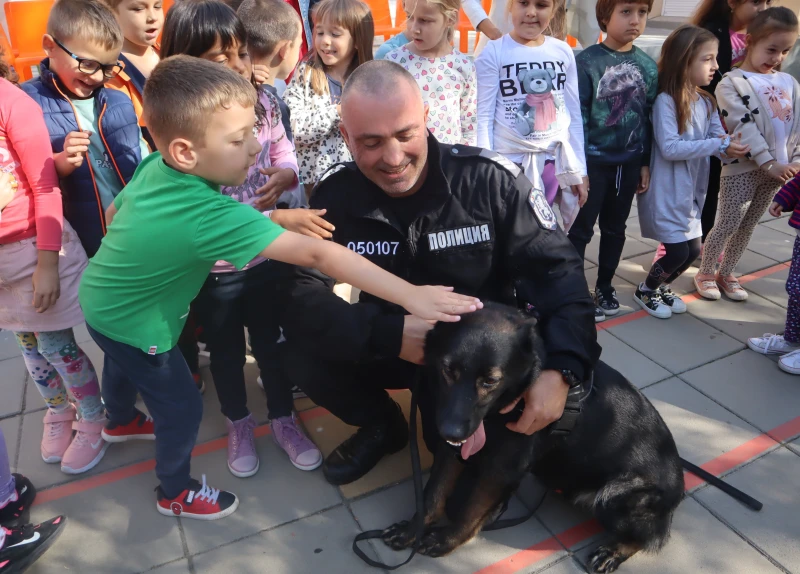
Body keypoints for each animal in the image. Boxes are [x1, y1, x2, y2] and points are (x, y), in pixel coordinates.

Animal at [382, 304, 680, 572]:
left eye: (490, 381)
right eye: (448, 371)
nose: (450, 432)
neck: (515, 399)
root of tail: (679, 487)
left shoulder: (500, 468)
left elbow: (469, 511)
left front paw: (447, 540)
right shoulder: (451, 453)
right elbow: (433, 494)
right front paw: (413, 530)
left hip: (616, 495)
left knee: (648, 538)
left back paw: (613, 552)